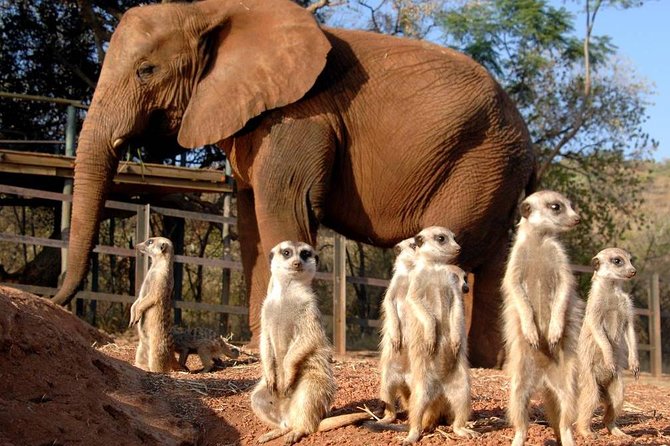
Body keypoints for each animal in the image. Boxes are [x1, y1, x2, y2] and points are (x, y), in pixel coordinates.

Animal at [53, 0, 535, 367]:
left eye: (146, 70)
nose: (55, 299)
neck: (211, 10)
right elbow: (251, 225)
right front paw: (254, 344)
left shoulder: (301, 118)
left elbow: (282, 209)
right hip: (494, 171)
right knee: (488, 265)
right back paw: (487, 362)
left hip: (479, 164)